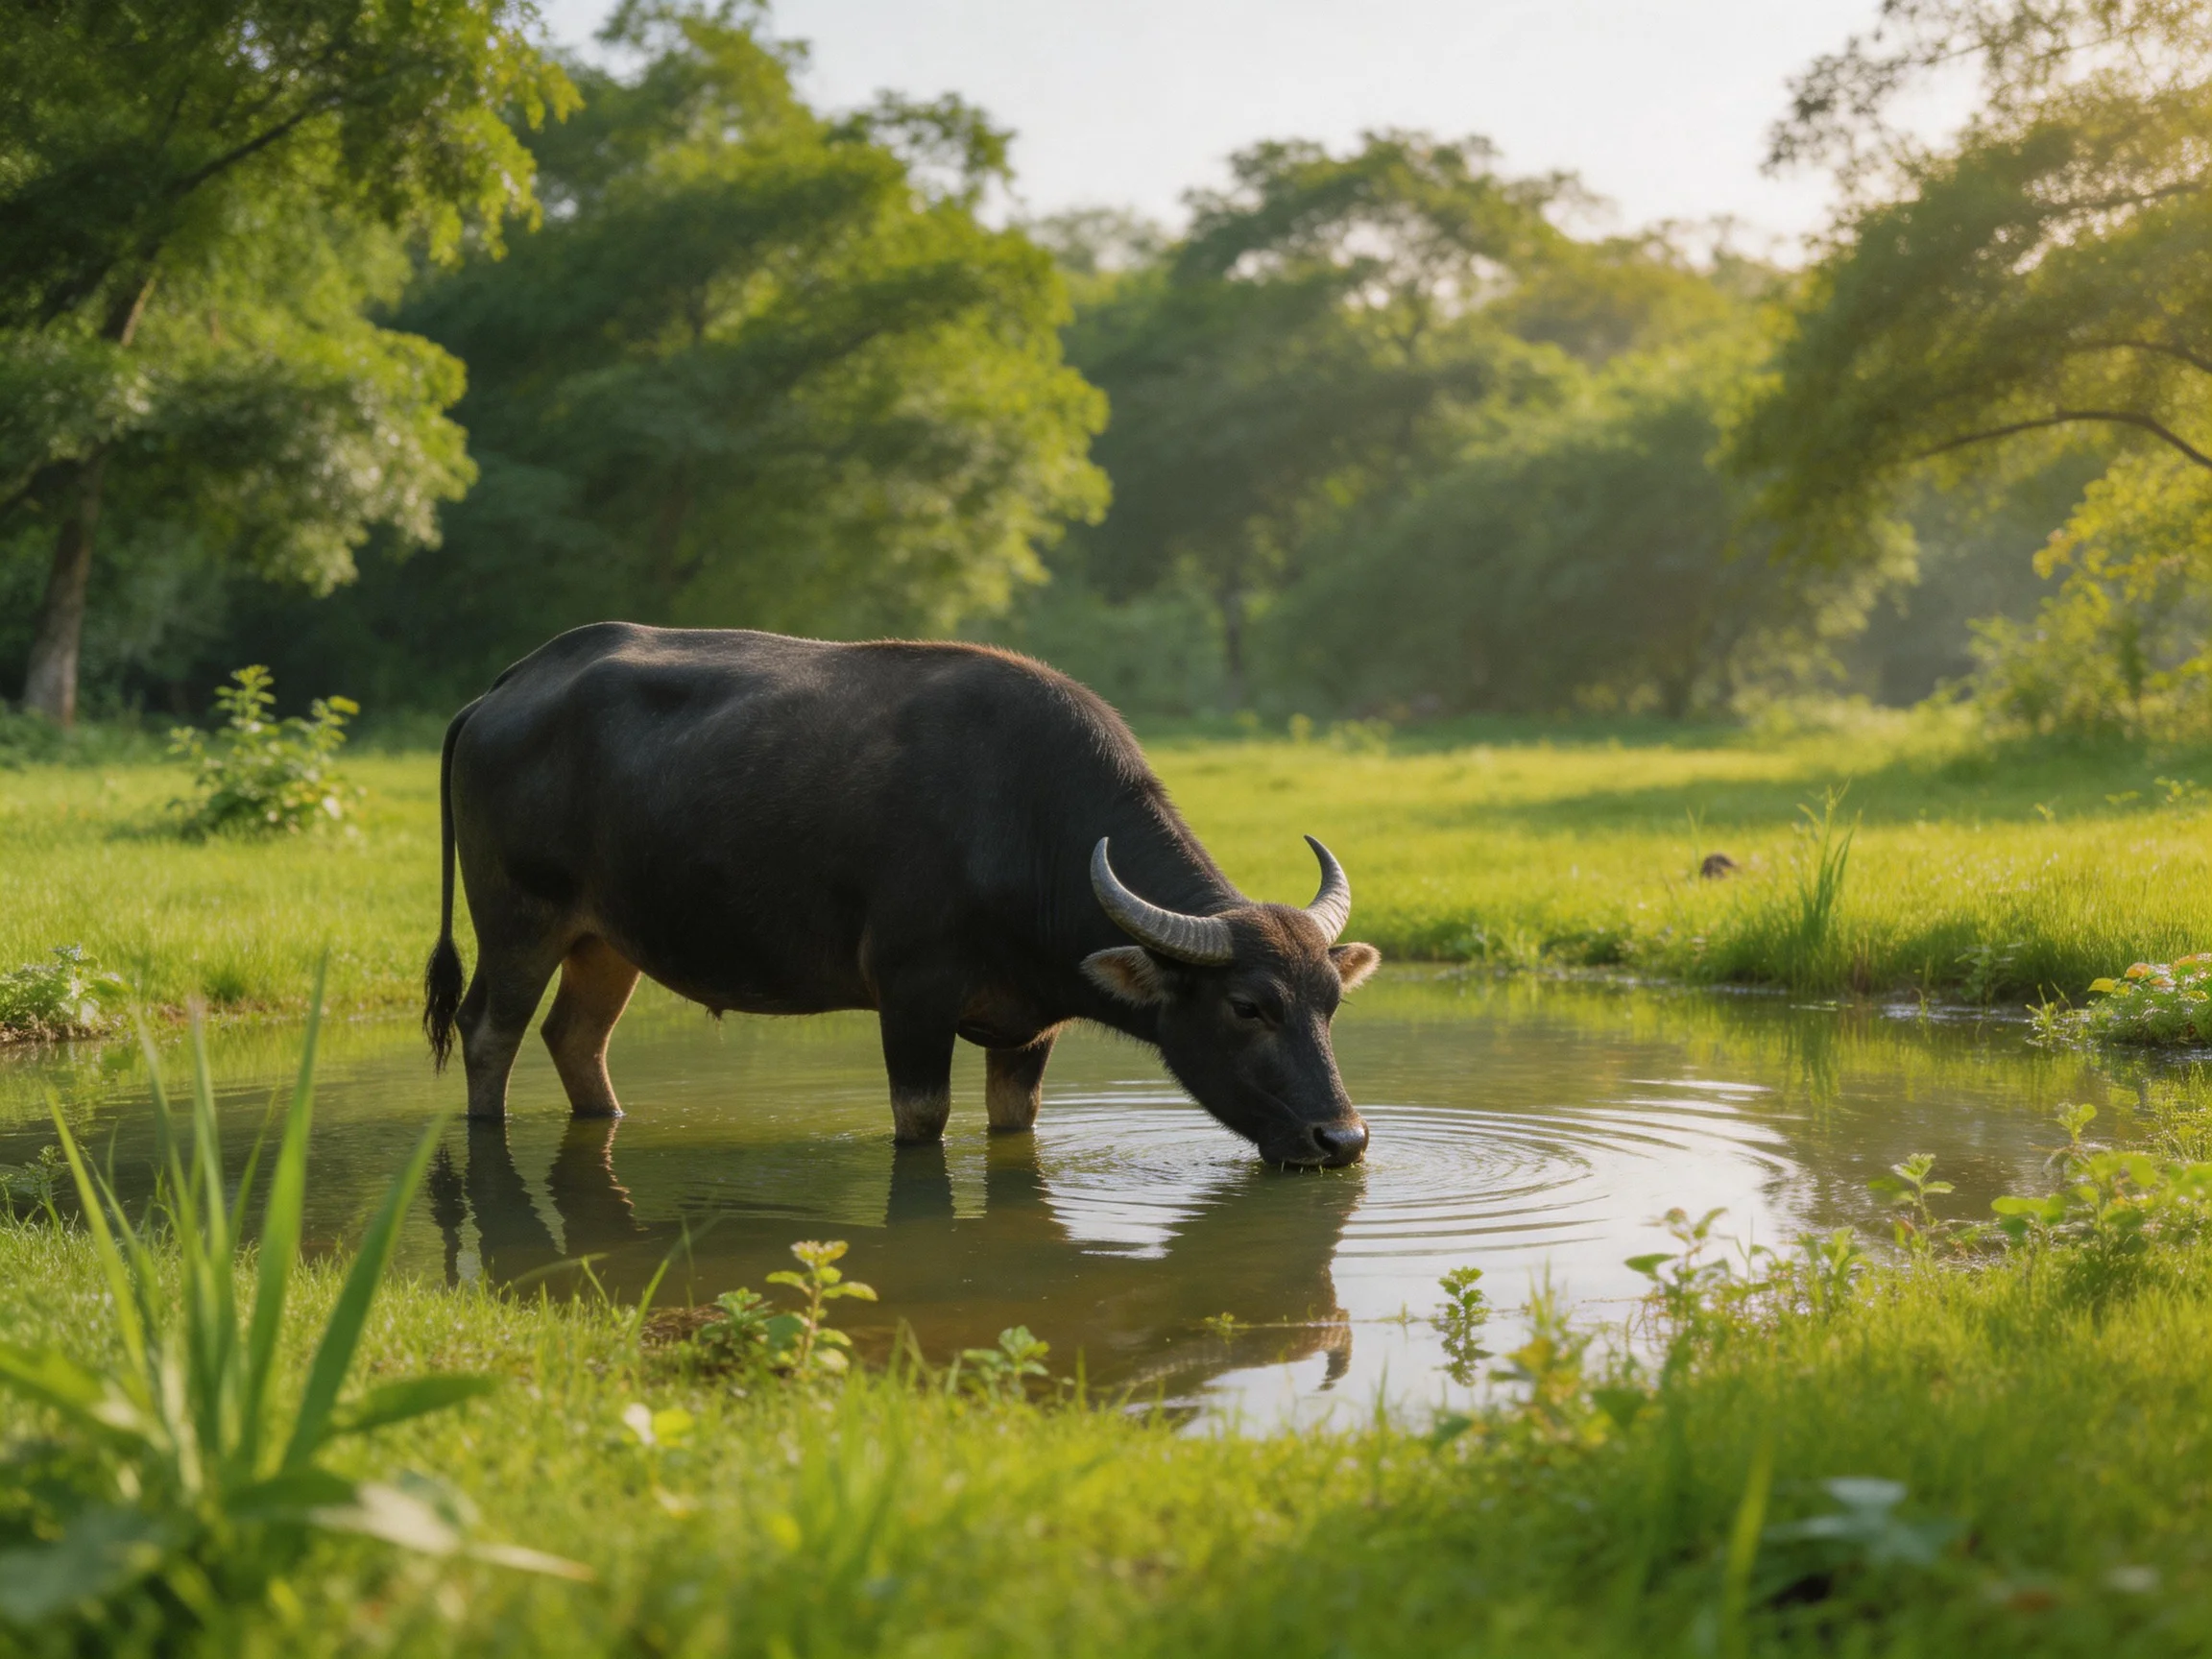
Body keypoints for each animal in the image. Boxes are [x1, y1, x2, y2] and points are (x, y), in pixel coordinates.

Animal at [424, 623, 1379, 1166]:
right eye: (1248, 1007)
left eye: (1331, 1005)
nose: (1342, 1140)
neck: (1023, 821)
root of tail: (501, 690)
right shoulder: (912, 1000)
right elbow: (921, 1120)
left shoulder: (1028, 1030)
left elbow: (1014, 1125)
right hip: (518, 917)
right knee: (489, 1032)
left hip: (607, 938)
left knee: (575, 1035)